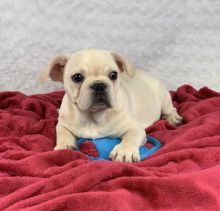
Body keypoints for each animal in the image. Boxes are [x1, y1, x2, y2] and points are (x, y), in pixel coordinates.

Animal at [39, 49, 182, 163]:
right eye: (77, 77)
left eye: (113, 75)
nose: (99, 85)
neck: (92, 116)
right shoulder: (63, 124)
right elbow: (62, 133)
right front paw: (64, 146)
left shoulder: (134, 128)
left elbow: (130, 137)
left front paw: (124, 151)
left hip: (164, 98)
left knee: (171, 109)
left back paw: (173, 118)